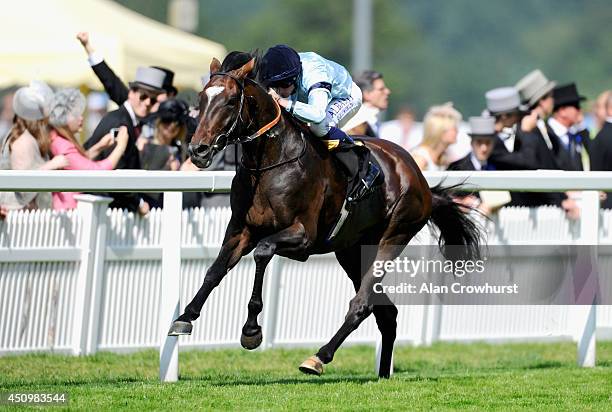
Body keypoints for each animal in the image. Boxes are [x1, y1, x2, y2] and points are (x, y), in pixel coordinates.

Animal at [169, 53, 482, 378]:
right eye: (202, 98)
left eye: (231, 101)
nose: (198, 150)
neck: (271, 163)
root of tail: (420, 179)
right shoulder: (241, 229)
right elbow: (215, 270)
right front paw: (185, 317)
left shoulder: (302, 235)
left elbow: (263, 251)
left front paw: (251, 331)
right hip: (353, 251)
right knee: (386, 312)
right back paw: (382, 374)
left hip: (393, 236)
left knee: (362, 304)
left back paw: (319, 357)